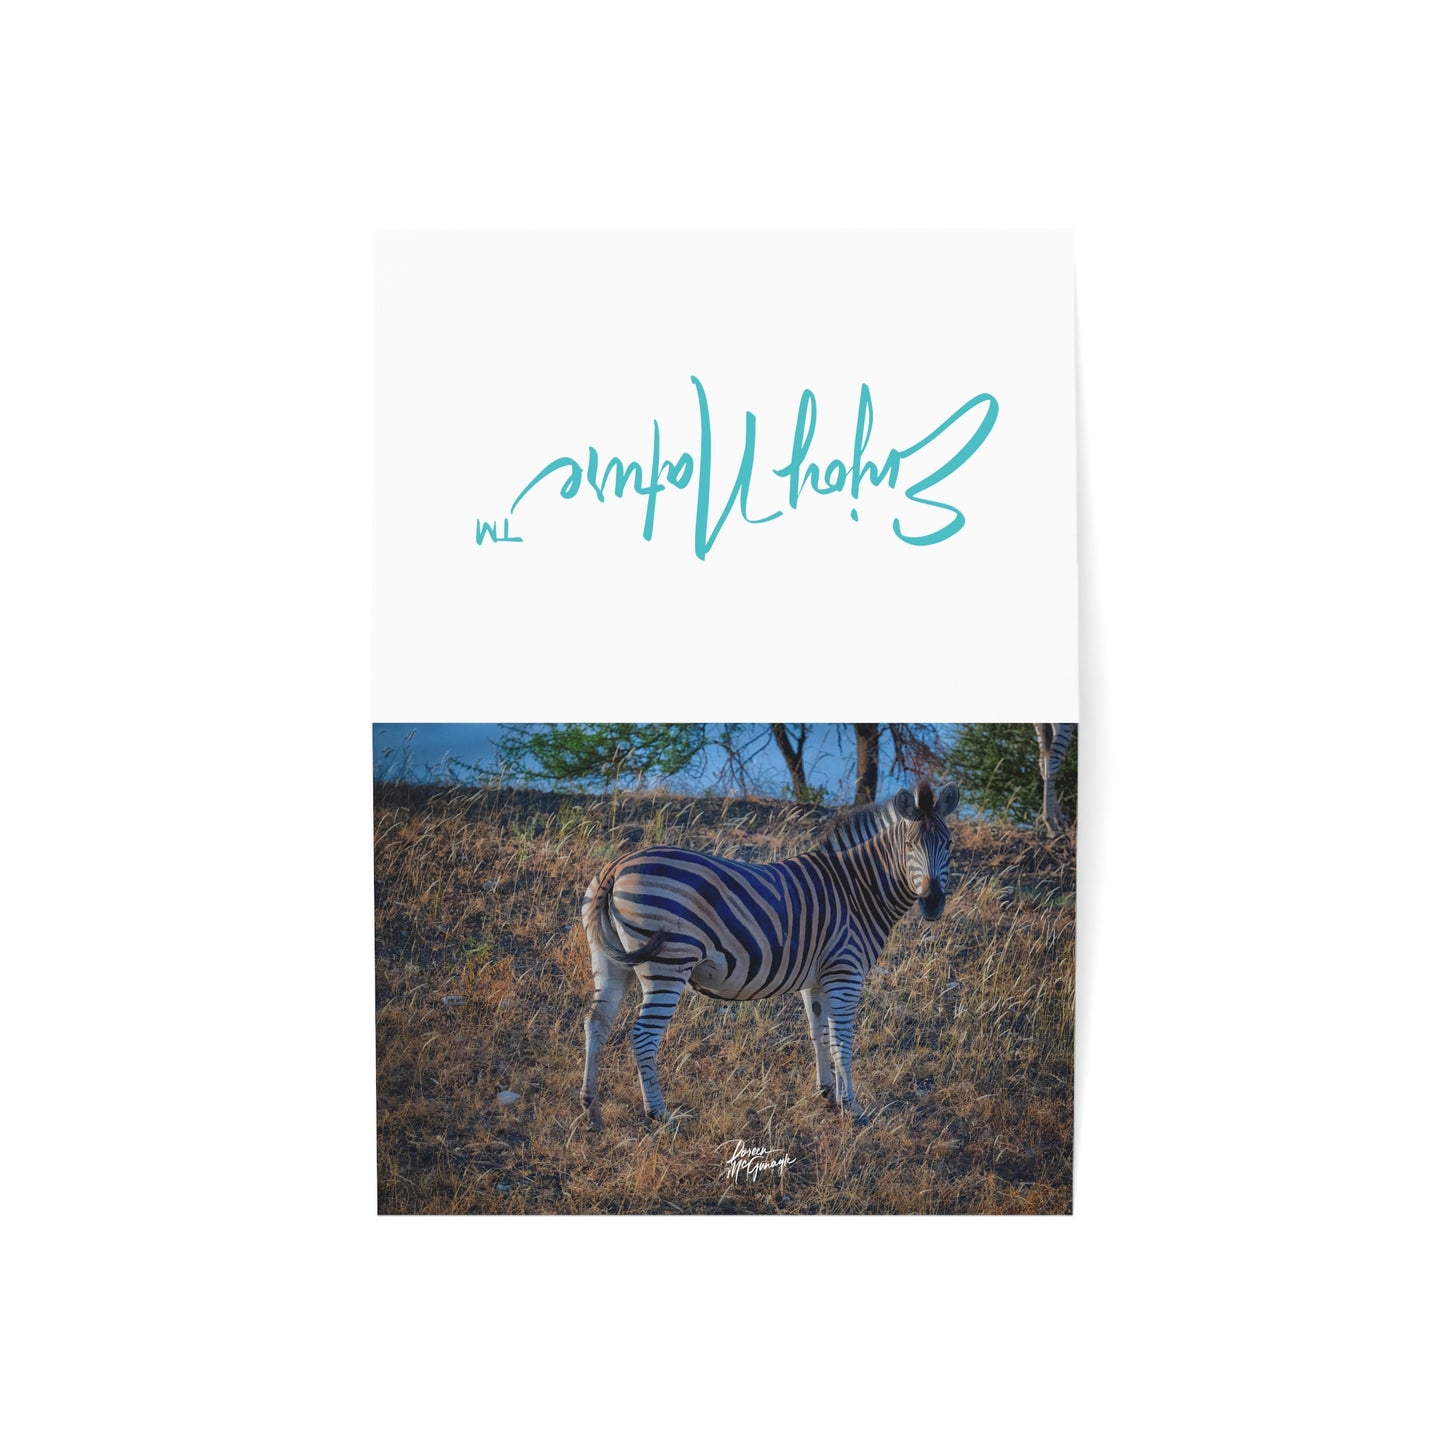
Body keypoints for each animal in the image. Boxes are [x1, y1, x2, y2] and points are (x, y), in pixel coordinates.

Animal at [579, 779, 959, 1125]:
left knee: (597, 1022)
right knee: (643, 1036)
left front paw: (828, 1094)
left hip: (609, 961)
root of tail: (617, 866)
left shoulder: (817, 979)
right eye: (909, 845)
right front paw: (853, 1108)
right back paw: (659, 1114)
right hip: (668, 964)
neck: (856, 890)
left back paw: (590, 1105)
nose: (933, 903)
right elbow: (842, 1041)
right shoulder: (845, 973)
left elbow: (819, 1034)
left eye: (948, 844)